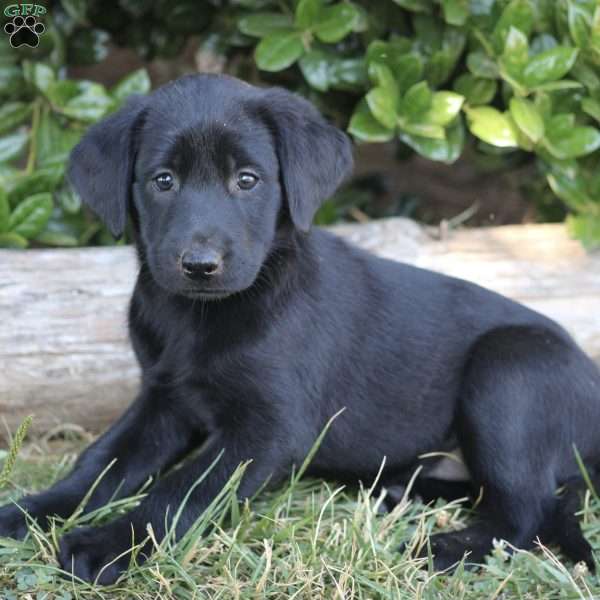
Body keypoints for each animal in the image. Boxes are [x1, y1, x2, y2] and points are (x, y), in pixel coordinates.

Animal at [1, 72, 600, 584]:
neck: (200, 317)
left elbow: (181, 489)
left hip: (509, 371)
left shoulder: (268, 431)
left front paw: (107, 545)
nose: (199, 264)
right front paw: (29, 512)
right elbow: (100, 465)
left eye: (247, 180)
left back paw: (439, 546)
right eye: (162, 181)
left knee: (524, 516)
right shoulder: (163, 399)